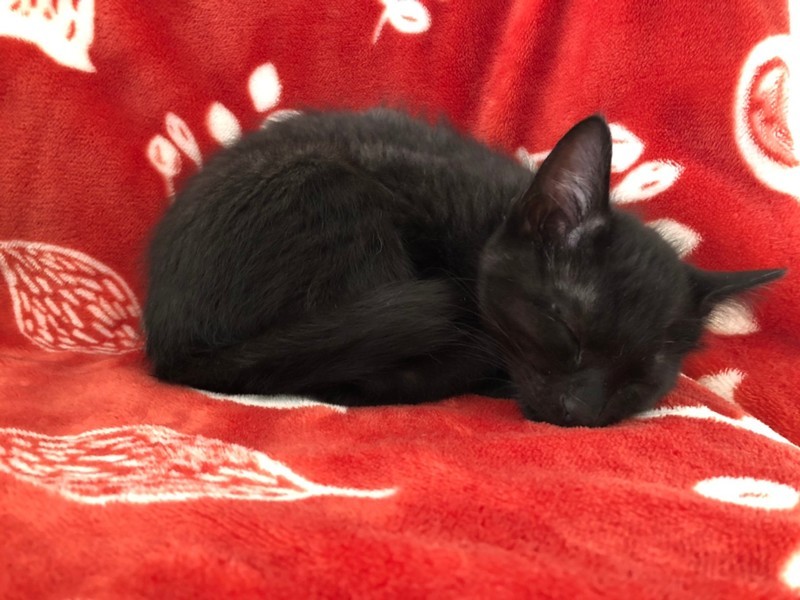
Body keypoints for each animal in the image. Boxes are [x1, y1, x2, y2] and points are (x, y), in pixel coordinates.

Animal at [143, 108, 785, 427]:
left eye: (642, 376)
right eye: (566, 330)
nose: (578, 412)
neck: (488, 220)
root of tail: (168, 340)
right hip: (334, 195)